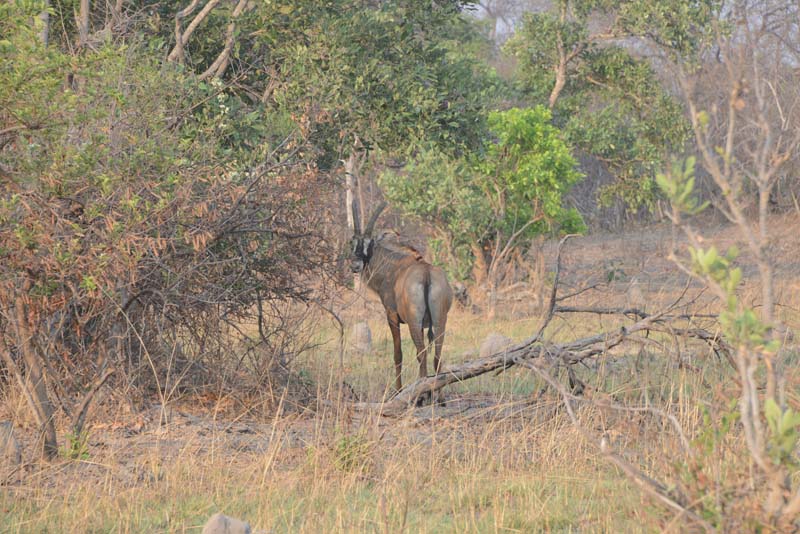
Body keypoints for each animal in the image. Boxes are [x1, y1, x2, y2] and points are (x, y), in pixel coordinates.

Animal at [348, 203, 454, 404]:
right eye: (352, 242)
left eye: (369, 243)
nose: (356, 265)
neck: (392, 265)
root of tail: (426, 274)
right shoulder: (424, 325)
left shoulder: (392, 315)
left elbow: (398, 354)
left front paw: (398, 391)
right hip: (440, 320)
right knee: (437, 355)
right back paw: (439, 397)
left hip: (413, 322)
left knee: (422, 354)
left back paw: (422, 394)